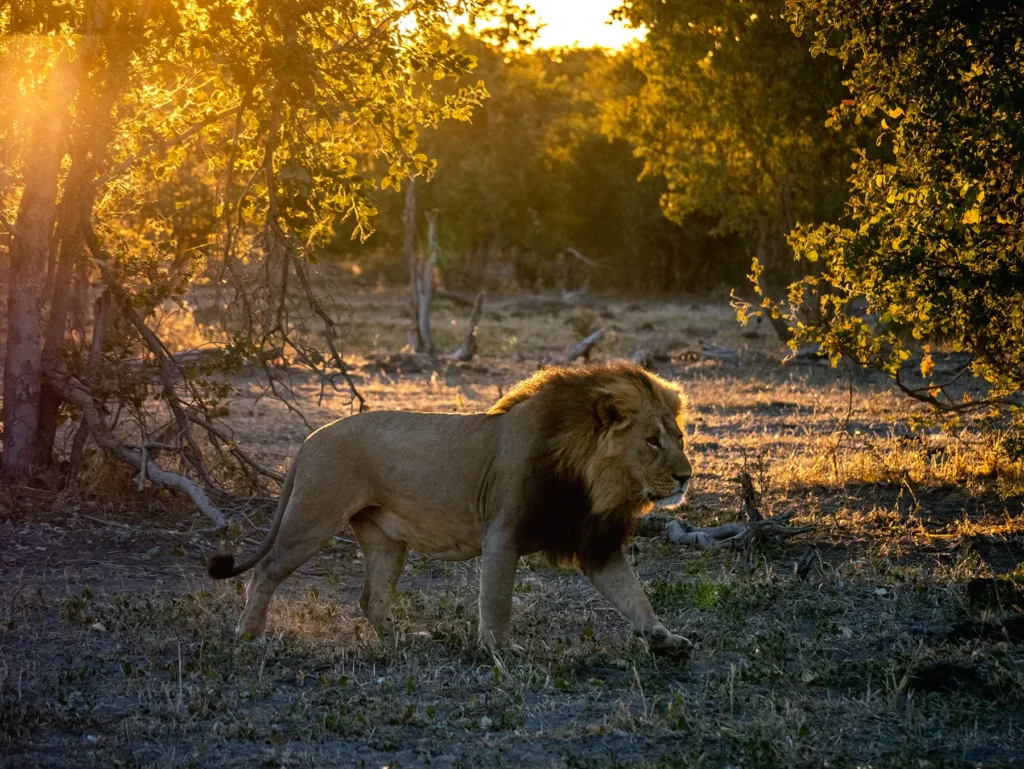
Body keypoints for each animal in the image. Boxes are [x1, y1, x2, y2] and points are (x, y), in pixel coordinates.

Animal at [208, 363, 694, 653]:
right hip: (313, 518)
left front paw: (664, 637)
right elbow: (496, 599)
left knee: (371, 597)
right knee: (265, 569)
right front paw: (499, 650)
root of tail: (309, 439)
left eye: (679, 438)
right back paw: (249, 635)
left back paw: (402, 639)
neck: (590, 481)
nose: (686, 476)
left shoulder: (595, 544)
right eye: (652, 441)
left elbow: (633, 594)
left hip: (385, 540)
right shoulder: (503, 533)